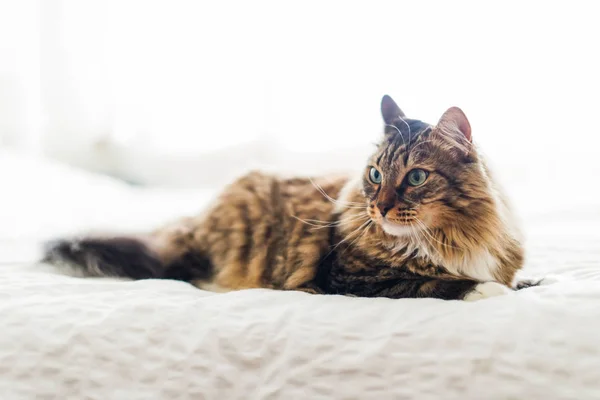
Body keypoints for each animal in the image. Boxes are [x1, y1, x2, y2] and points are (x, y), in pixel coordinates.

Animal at [41, 94, 528, 300]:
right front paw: (489, 291)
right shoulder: (350, 279)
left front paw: (526, 285)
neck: (449, 236)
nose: (379, 207)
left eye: (416, 178)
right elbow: (436, 282)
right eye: (375, 175)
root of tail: (195, 223)